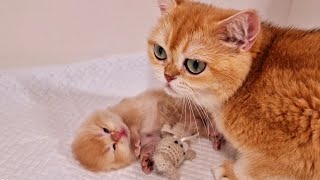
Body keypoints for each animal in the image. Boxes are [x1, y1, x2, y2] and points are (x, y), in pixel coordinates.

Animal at [149, 0, 320, 179]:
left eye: (195, 65)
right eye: (160, 52)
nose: (167, 75)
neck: (251, 80)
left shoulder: (292, 156)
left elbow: (252, 170)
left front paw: (229, 171)